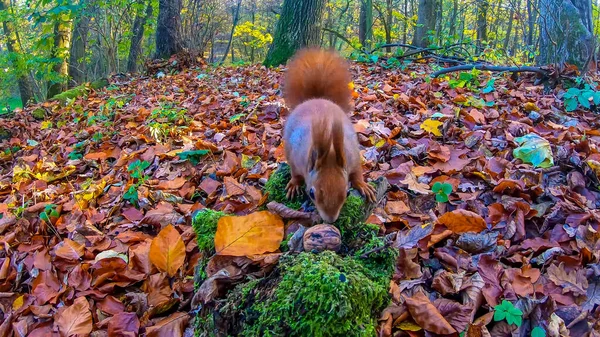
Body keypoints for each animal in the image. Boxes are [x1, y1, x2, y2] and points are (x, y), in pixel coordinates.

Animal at [282, 46, 376, 220]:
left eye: (347, 193)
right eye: (311, 193)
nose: (330, 220)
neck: (330, 149)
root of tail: (316, 98)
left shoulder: (353, 157)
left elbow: (357, 173)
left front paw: (363, 185)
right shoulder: (296, 157)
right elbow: (296, 173)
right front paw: (294, 184)